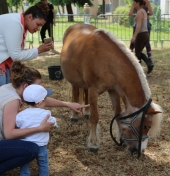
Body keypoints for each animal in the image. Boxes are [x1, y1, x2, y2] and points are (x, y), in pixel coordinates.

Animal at [60, 23, 163, 155]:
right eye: (146, 126)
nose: (139, 151)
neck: (106, 60)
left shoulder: (113, 91)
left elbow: (117, 114)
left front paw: (120, 139)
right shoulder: (94, 91)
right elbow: (95, 118)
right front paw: (93, 144)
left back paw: (86, 112)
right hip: (74, 81)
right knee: (75, 94)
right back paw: (74, 116)